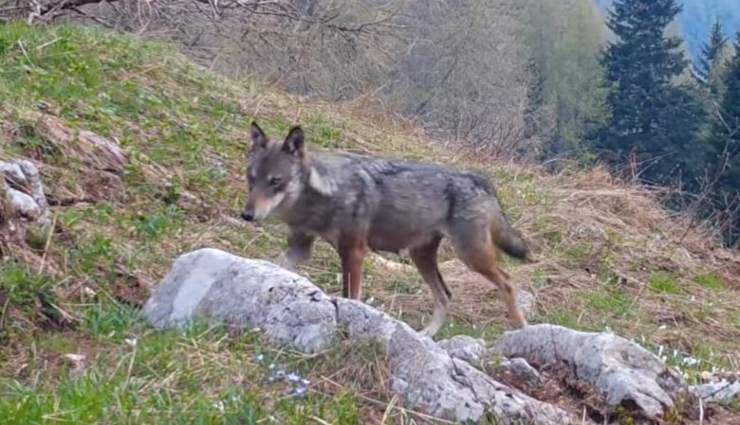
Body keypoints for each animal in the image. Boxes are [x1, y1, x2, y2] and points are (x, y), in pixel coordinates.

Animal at [241, 121, 528, 334]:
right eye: (251, 179)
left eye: (275, 181)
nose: (246, 215)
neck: (324, 196)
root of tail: (478, 178)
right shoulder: (300, 248)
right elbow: (276, 265)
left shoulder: (354, 252)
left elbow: (351, 296)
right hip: (422, 258)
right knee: (446, 295)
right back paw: (425, 336)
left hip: (471, 257)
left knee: (507, 281)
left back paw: (521, 328)